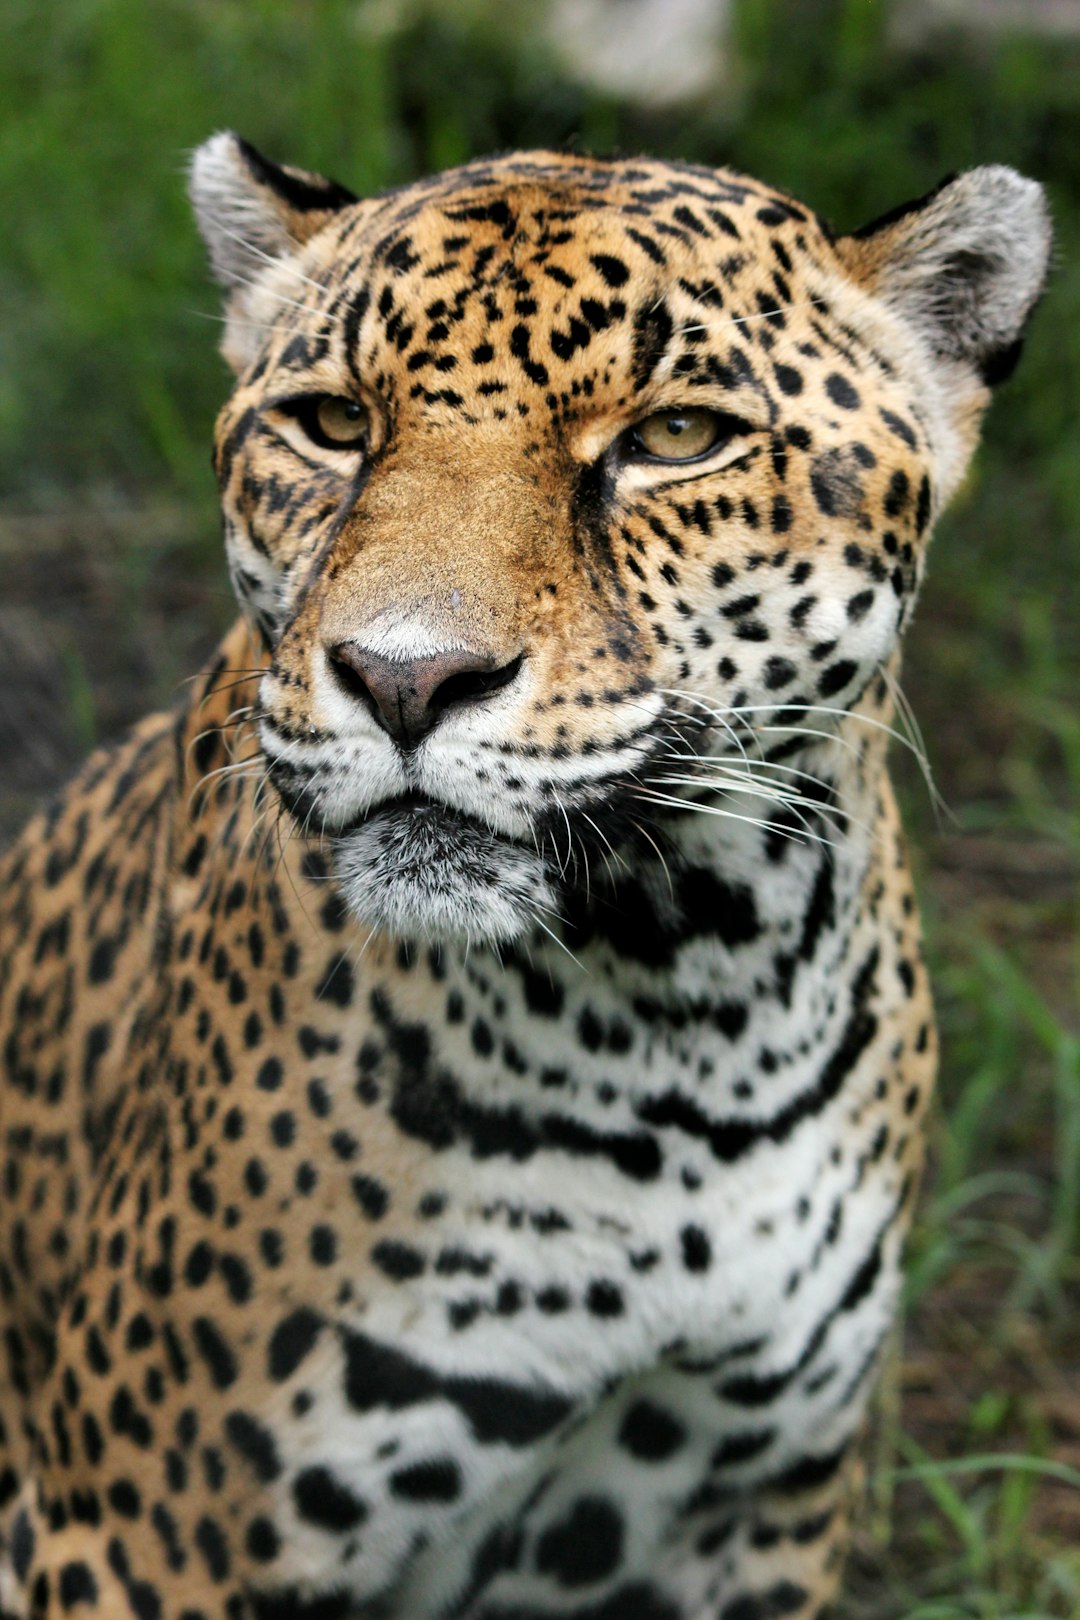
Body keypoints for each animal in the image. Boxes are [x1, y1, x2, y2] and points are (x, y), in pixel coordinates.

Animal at [0, 135, 1050, 1620]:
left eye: (676, 440)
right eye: (333, 422)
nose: (404, 677)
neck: (683, 1011)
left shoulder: (764, 1508)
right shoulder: (138, 1531)